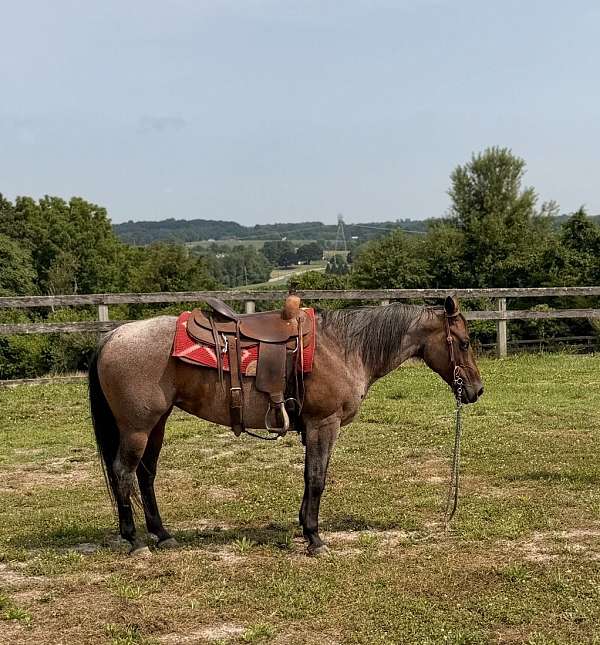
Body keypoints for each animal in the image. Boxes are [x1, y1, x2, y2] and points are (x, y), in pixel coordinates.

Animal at [89, 295, 483, 556]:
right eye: (464, 343)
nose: (477, 390)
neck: (343, 348)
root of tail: (113, 335)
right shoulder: (324, 424)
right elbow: (317, 478)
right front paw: (315, 538)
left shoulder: (315, 428)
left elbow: (310, 477)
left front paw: (304, 527)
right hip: (138, 427)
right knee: (123, 472)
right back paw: (135, 541)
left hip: (157, 424)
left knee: (145, 476)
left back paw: (162, 534)